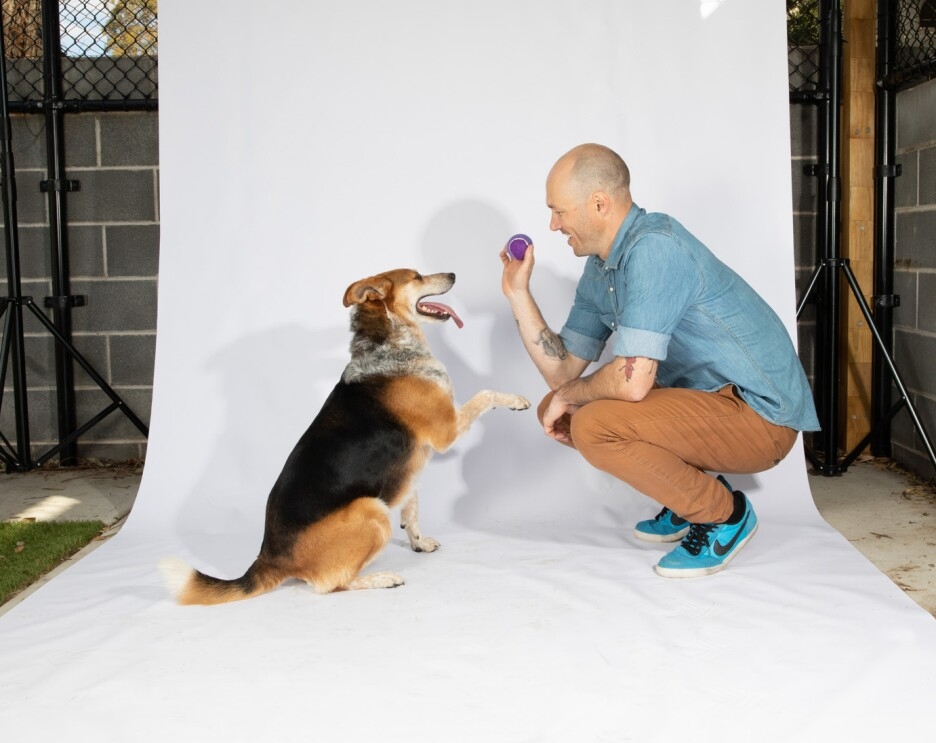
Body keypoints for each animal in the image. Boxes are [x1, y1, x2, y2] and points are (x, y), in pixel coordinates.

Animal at [157, 268, 532, 604]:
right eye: (416, 276)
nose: (453, 274)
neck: (387, 345)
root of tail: (270, 559)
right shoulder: (447, 430)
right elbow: (485, 393)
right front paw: (516, 400)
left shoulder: (411, 468)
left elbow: (412, 508)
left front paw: (418, 542)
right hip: (373, 509)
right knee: (330, 584)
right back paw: (383, 579)